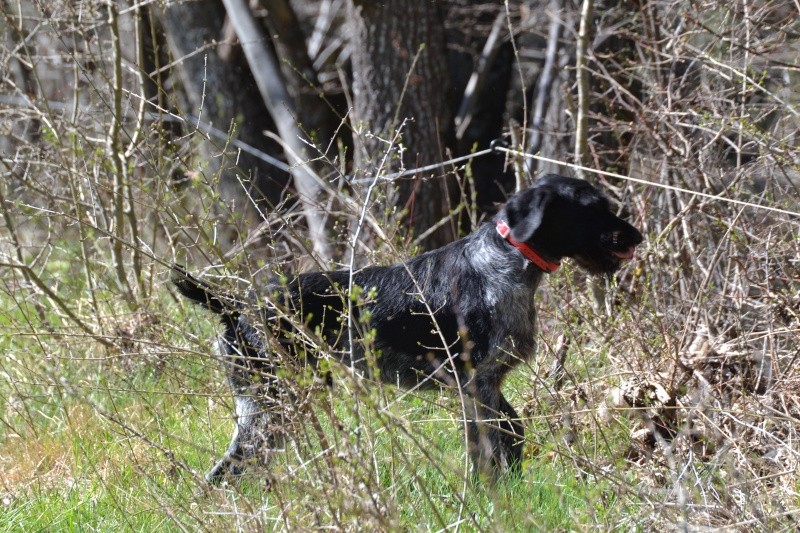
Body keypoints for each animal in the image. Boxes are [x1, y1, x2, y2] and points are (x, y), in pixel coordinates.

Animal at [173, 174, 644, 482]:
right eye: (593, 209)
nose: (637, 237)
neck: (506, 262)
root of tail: (236, 306)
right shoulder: (475, 386)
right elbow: (490, 451)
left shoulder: (489, 387)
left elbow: (512, 438)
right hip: (273, 404)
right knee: (227, 471)